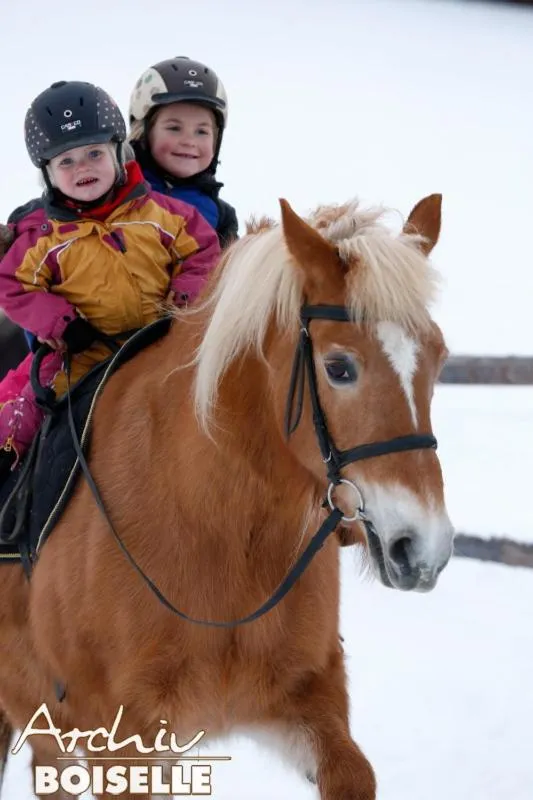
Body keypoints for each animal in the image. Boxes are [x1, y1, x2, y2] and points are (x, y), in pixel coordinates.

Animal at [0, 192, 454, 799]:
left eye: (440, 358)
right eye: (338, 368)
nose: (423, 549)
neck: (219, 533)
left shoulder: (308, 703)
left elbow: (353, 774)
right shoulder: (120, 744)